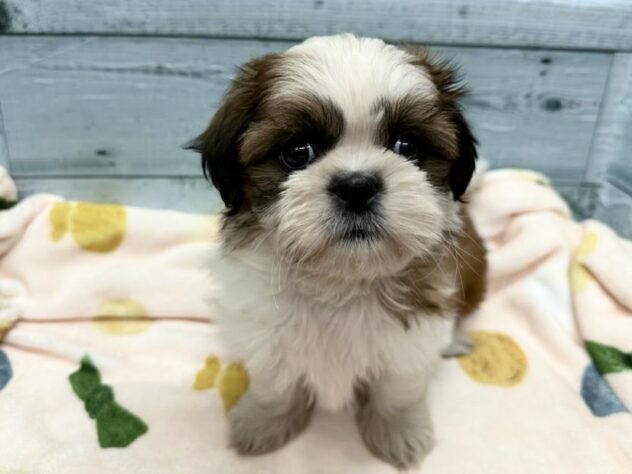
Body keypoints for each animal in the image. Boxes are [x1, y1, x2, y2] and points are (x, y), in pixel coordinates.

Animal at [188, 34, 484, 470]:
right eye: (298, 151)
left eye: (407, 145)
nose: (357, 186)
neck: (341, 281)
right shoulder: (264, 331)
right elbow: (274, 384)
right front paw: (264, 422)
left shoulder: (408, 343)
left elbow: (399, 388)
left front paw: (399, 432)